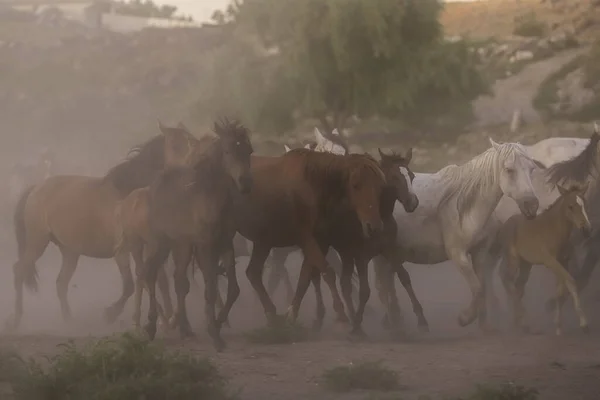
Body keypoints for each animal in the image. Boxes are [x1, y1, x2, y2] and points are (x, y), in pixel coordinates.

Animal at [232, 148, 386, 326]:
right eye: (355, 185)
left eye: (380, 187)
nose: (373, 227)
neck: (312, 187)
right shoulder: (306, 239)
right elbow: (327, 272)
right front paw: (340, 313)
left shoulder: (321, 242)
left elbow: (306, 276)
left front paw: (292, 314)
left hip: (263, 241)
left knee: (253, 273)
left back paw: (271, 313)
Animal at [496, 183, 592, 336]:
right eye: (570, 206)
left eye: (585, 204)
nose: (587, 229)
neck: (554, 231)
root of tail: (504, 226)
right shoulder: (551, 262)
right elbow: (571, 281)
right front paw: (584, 324)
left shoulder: (563, 262)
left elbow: (560, 292)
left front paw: (558, 327)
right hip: (513, 260)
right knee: (507, 279)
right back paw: (522, 322)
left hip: (526, 264)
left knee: (518, 286)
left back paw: (519, 323)